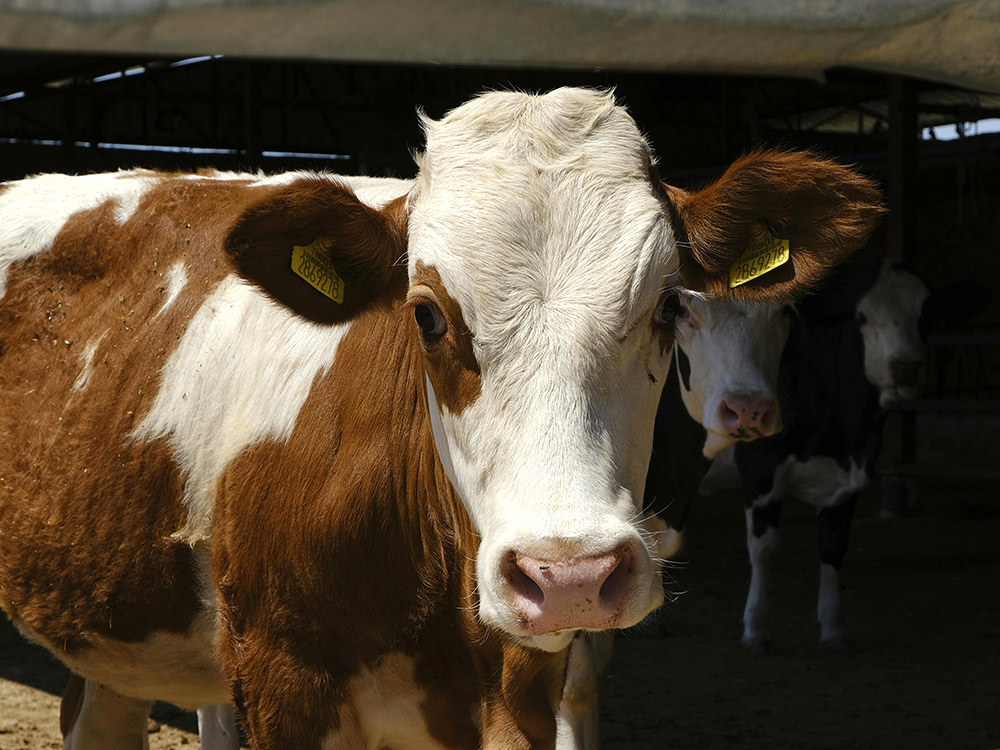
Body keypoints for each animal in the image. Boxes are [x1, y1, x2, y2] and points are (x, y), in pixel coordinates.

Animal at [733, 248, 932, 655]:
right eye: (862, 316)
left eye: (925, 314)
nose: (906, 367)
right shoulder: (759, 460)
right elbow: (763, 546)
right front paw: (756, 629)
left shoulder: (847, 473)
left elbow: (833, 544)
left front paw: (833, 627)